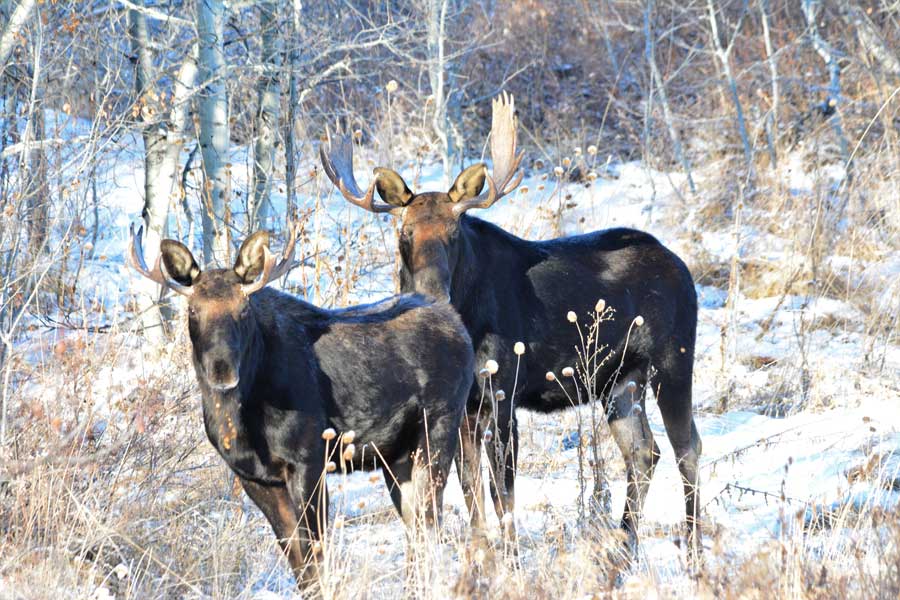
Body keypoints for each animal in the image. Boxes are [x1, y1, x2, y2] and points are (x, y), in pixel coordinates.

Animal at [128, 224, 474, 589]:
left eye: (244, 309)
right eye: (193, 310)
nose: (222, 369)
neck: (239, 421)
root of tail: (456, 322)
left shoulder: (309, 457)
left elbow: (314, 551)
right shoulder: (254, 476)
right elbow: (295, 556)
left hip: (438, 429)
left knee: (429, 522)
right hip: (396, 455)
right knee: (415, 526)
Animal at [320, 93, 703, 564]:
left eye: (454, 232)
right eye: (404, 233)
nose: (432, 290)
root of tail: (680, 266)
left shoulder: (503, 391)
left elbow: (501, 491)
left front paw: (511, 558)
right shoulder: (464, 406)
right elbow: (469, 488)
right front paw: (481, 554)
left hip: (673, 358)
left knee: (687, 448)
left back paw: (693, 547)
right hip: (619, 380)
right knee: (644, 452)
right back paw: (626, 545)